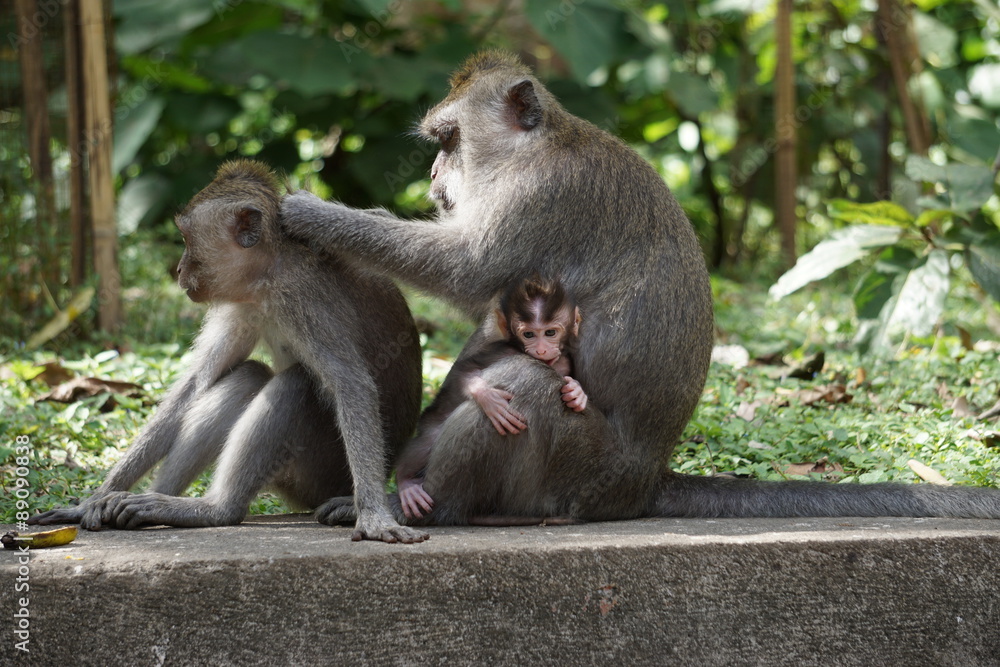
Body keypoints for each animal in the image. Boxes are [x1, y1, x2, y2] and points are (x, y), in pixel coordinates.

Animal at [30, 160, 428, 543]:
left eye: (186, 239)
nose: (178, 268)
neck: (269, 274)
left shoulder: (302, 297)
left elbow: (352, 385)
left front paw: (373, 516)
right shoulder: (242, 301)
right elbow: (196, 383)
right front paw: (92, 501)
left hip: (321, 476)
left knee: (295, 383)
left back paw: (216, 510)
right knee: (247, 375)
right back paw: (149, 503)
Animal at [396, 275, 587, 520]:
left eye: (550, 333)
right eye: (529, 334)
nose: (542, 350)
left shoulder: (564, 359)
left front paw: (577, 392)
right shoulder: (502, 350)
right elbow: (463, 372)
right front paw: (489, 398)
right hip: (430, 424)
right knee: (426, 442)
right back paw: (406, 482)